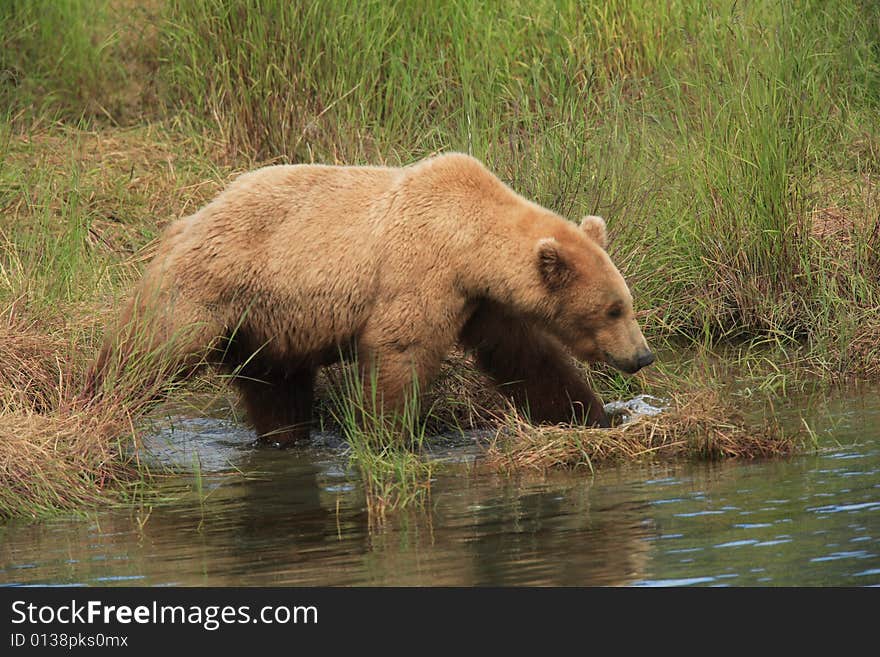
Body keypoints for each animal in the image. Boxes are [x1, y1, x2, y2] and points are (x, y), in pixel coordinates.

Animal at [89, 152, 652, 446]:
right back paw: (95, 402)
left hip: (264, 327)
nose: (642, 355)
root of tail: (185, 220)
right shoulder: (421, 273)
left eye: (626, 302)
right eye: (612, 308)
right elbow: (399, 350)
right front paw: (388, 437)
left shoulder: (480, 302)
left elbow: (529, 358)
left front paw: (597, 415)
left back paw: (286, 437)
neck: (468, 240)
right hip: (210, 288)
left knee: (275, 389)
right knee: (149, 349)